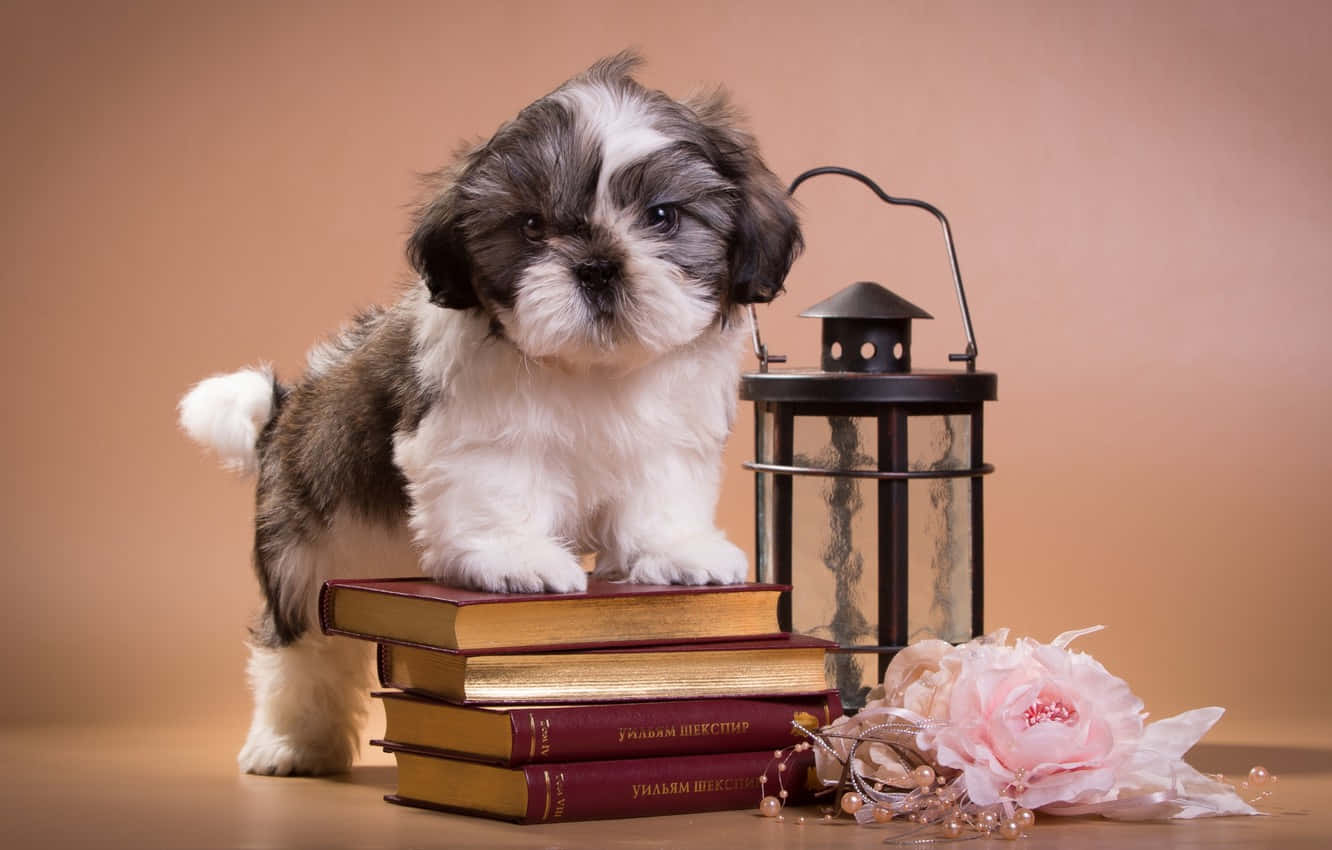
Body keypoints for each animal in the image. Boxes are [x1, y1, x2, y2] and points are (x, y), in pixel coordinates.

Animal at [178, 49, 799, 778]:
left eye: (664, 216)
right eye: (531, 226)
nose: (597, 266)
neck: (588, 370)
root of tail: (282, 412)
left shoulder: (667, 439)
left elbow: (660, 493)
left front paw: (675, 551)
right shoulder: (478, 436)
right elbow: (499, 489)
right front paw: (515, 558)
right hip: (305, 543)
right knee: (302, 648)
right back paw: (291, 743)